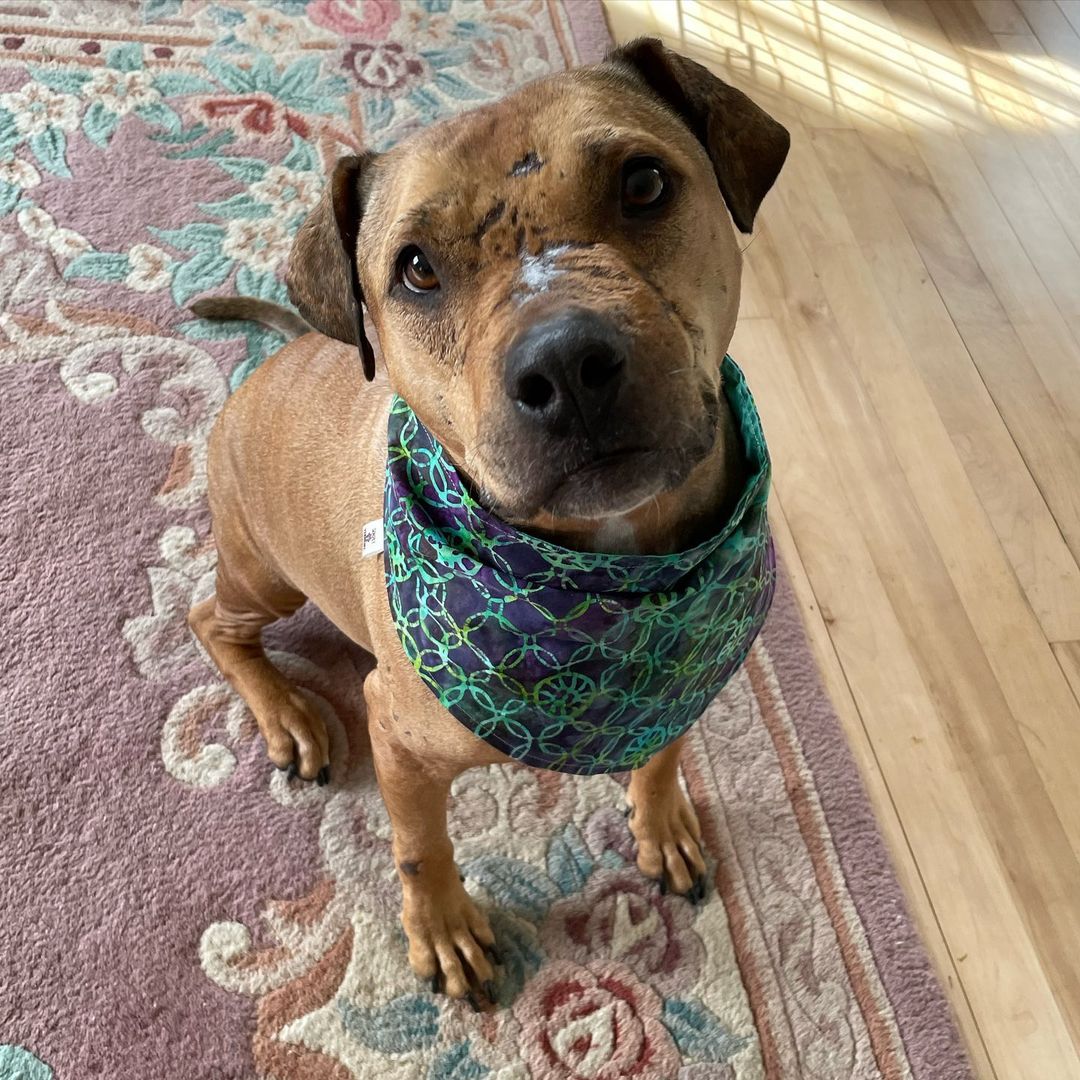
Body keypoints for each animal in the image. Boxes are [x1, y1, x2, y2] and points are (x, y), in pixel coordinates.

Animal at [190, 35, 786, 1010]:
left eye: (645, 183)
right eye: (416, 268)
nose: (567, 363)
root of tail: (276, 360)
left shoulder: (683, 680)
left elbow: (663, 753)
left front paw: (662, 824)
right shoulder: (399, 736)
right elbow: (419, 847)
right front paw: (443, 930)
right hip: (262, 572)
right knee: (209, 623)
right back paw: (286, 715)